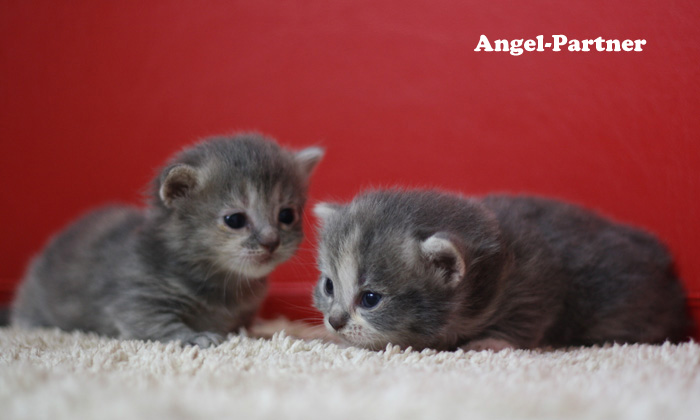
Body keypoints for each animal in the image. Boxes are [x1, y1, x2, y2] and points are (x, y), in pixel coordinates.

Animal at [11, 133, 322, 346]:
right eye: (234, 220)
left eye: (286, 215)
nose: (272, 241)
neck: (225, 285)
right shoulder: (137, 300)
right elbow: (159, 326)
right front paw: (195, 337)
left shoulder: (244, 314)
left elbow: (245, 328)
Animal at [314, 189, 692, 350]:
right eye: (329, 286)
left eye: (370, 299)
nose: (334, 320)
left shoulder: (536, 280)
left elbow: (526, 318)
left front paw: (491, 341)